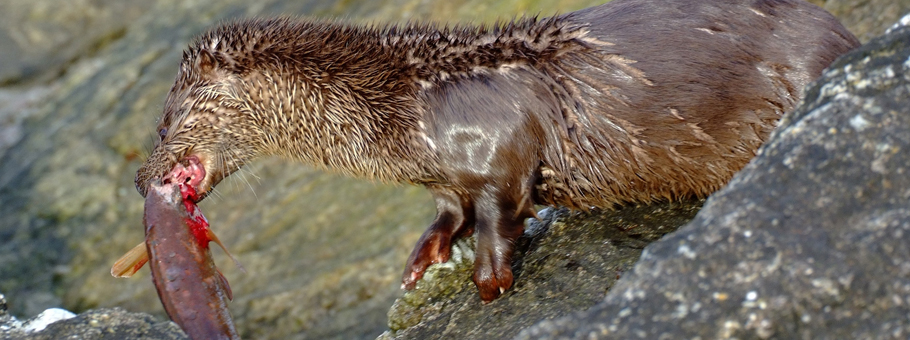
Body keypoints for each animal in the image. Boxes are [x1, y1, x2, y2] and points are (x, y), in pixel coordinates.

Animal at [135, 0, 864, 302]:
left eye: (165, 126)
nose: (143, 178)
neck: (409, 105)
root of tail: (845, 35)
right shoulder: (444, 179)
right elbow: (450, 213)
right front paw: (420, 260)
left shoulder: (500, 160)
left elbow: (496, 217)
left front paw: (490, 282)